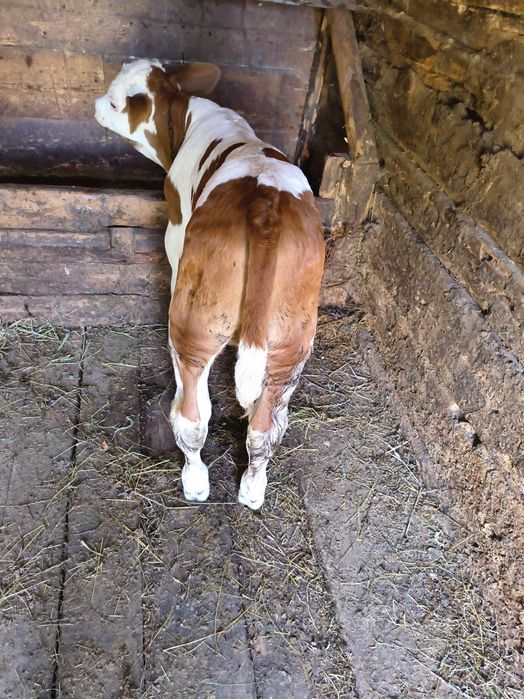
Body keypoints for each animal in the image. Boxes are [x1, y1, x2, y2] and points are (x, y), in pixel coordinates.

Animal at [95, 60, 325, 510]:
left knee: (191, 415)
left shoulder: (176, 226)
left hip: (192, 323)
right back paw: (252, 490)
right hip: (293, 339)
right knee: (265, 428)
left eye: (113, 101)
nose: (94, 104)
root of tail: (266, 202)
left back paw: (195, 483)